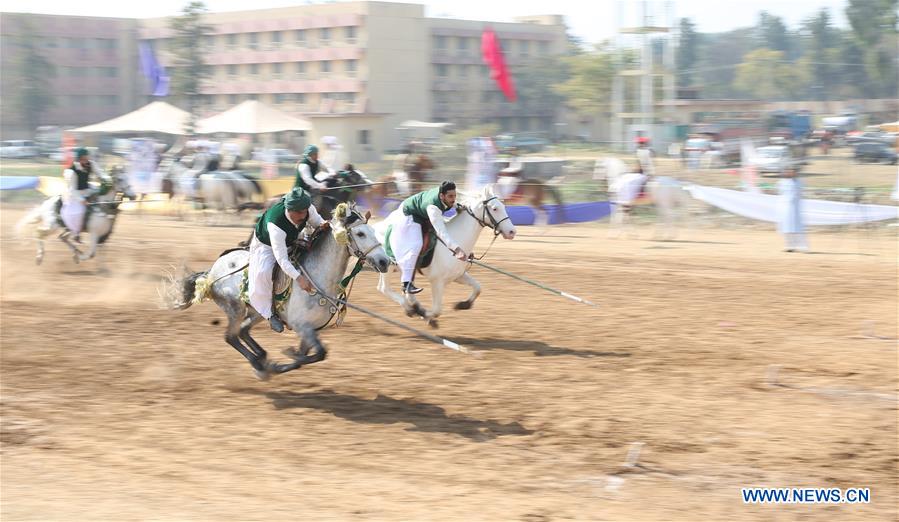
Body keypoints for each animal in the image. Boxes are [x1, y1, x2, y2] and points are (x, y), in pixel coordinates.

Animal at [163, 202, 388, 378]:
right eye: (360, 233)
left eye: (373, 232)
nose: (384, 261)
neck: (321, 280)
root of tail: (211, 272)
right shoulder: (302, 326)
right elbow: (318, 354)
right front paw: (282, 359)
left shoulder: (310, 330)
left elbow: (307, 357)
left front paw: (281, 362)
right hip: (235, 308)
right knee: (231, 336)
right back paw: (258, 363)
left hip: (258, 312)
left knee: (243, 330)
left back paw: (262, 358)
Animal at [374, 185, 516, 328]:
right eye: (495, 208)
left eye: (503, 206)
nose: (512, 231)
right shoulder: (437, 281)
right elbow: (437, 310)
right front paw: (426, 316)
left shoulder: (458, 276)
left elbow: (478, 287)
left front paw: (463, 304)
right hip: (388, 267)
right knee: (384, 288)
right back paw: (410, 309)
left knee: (406, 287)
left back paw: (414, 304)